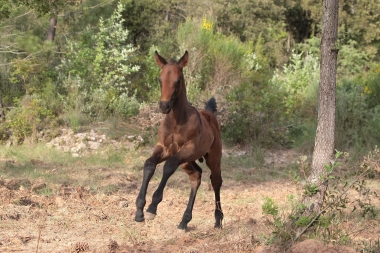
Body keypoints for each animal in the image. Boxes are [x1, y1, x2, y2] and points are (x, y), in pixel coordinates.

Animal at [135, 50, 223, 230]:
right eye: (160, 79)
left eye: (178, 81)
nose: (164, 106)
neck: (177, 121)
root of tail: (210, 114)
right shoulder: (164, 147)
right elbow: (149, 164)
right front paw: (139, 210)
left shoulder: (187, 149)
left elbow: (168, 166)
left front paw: (152, 207)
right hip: (186, 162)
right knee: (196, 176)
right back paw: (184, 220)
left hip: (213, 158)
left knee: (216, 180)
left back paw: (218, 220)